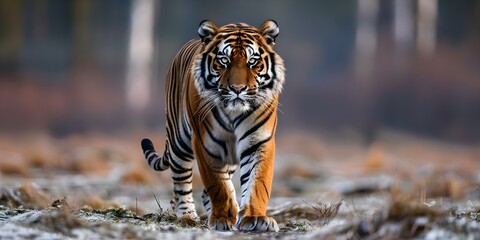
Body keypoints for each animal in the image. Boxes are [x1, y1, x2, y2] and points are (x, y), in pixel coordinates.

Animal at [142, 20, 284, 231]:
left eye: (252, 61)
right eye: (224, 60)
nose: (237, 89)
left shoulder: (259, 142)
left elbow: (258, 183)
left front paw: (255, 218)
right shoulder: (205, 143)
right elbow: (218, 186)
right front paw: (222, 219)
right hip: (179, 142)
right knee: (181, 184)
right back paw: (187, 216)